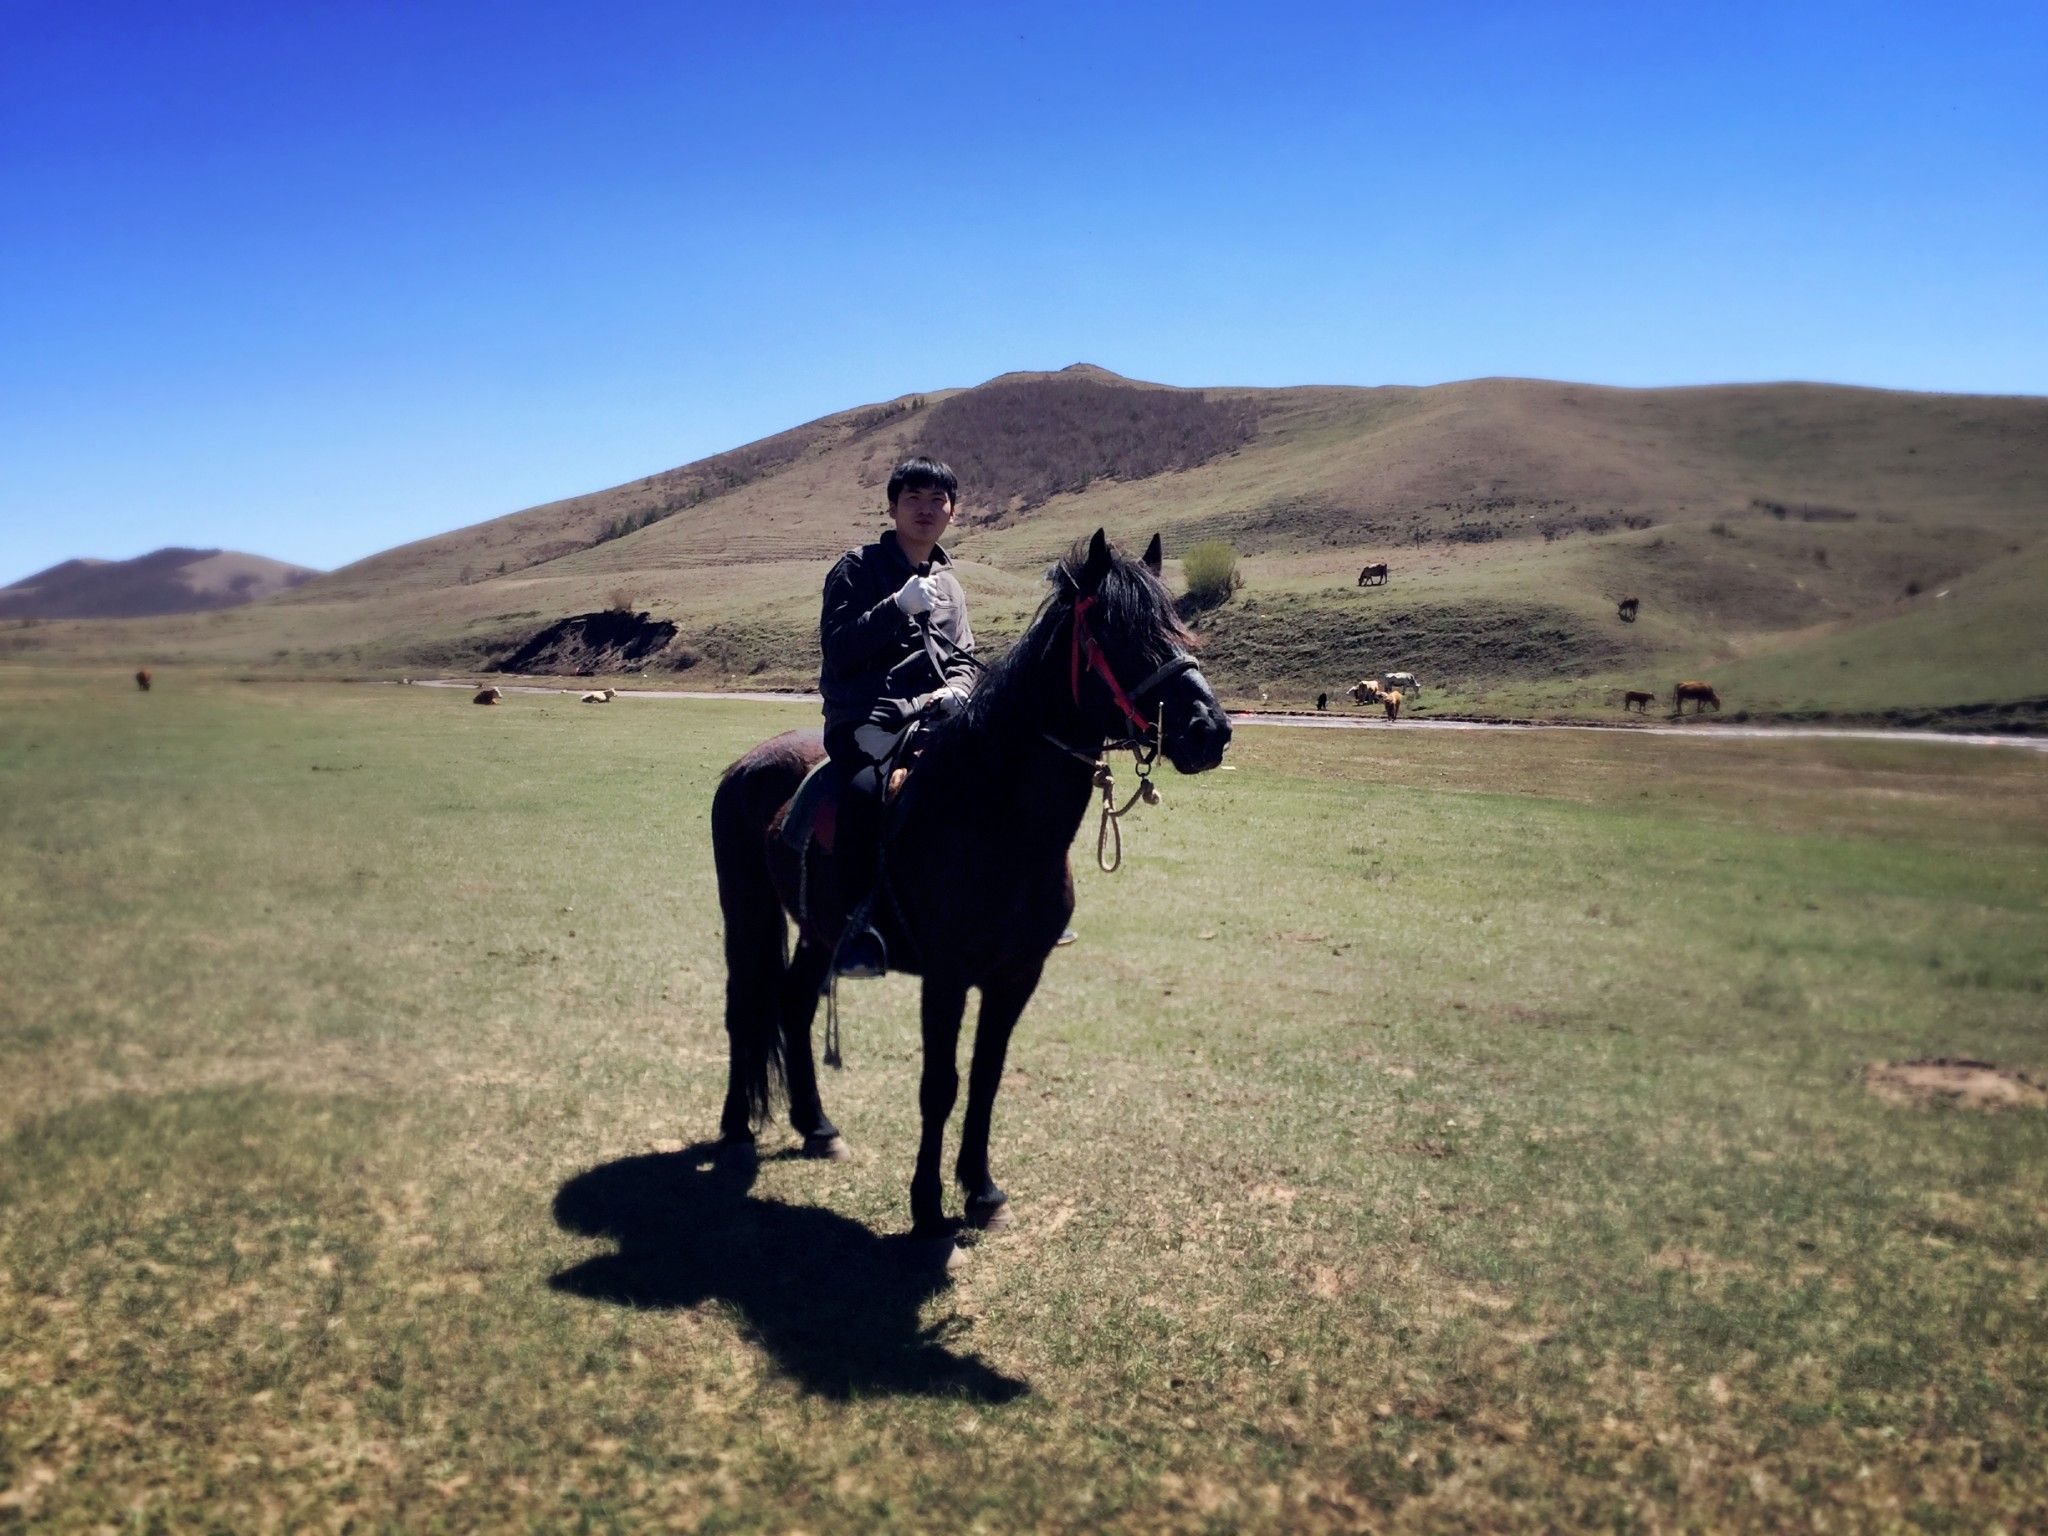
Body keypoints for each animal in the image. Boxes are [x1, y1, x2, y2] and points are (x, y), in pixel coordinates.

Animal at [716, 528, 1228, 1236]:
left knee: (793, 1001)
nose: (1211, 730)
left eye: (1177, 623)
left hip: (820, 931)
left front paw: (981, 1191)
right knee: (745, 1006)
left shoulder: (1016, 976)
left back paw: (817, 1127)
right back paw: (737, 1133)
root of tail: (744, 765)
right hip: (746, 910)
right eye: (1120, 631)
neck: (995, 817)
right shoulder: (947, 976)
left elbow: (986, 1078)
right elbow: (941, 1085)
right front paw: (928, 1206)